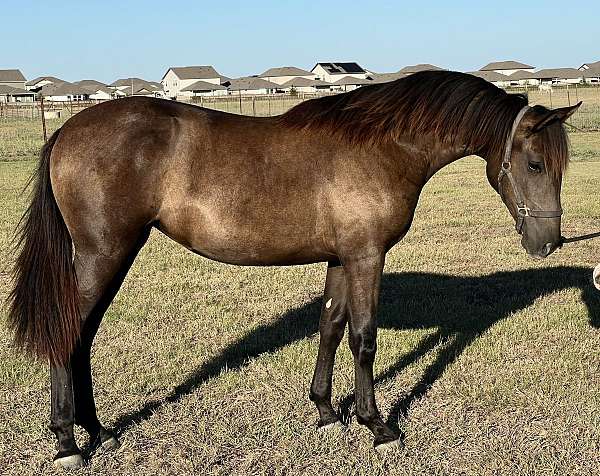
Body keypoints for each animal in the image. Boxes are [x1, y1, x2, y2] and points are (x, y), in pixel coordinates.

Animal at [7, 70, 580, 468]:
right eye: (534, 164)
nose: (549, 243)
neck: (381, 145)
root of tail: (68, 131)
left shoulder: (342, 258)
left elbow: (330, 326)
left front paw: (327, 414)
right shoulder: (367, 256)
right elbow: (364, 337)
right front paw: (378, 426)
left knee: (82, 338)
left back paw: (97, 432)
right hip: (104, 254)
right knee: (68, 333)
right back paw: (67, 443)